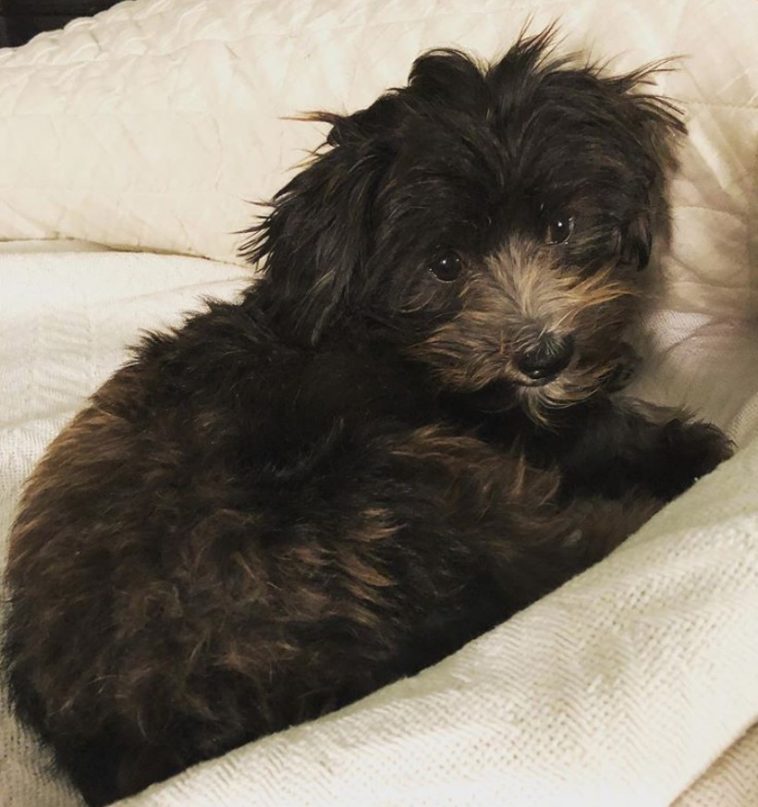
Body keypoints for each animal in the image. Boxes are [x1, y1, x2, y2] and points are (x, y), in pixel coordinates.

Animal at [2, 28, 732, 804]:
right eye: (444, 265)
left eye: (562, 226)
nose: (544, 355)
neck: (380, 332)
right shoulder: (497, 431)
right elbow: (597, 431)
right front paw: (692, 446)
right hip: (407, 484)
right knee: (549, 552)